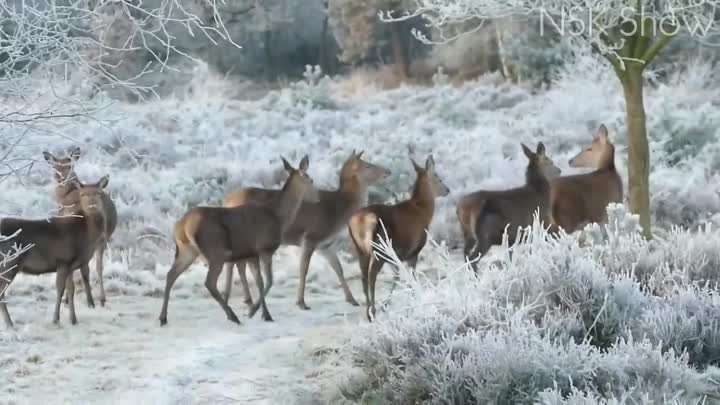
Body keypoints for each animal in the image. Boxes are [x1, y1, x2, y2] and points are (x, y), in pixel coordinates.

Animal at [0, 175, 111, 326]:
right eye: (83, 195)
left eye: (99, 193)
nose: (92, 206)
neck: (85, 236)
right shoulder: (62, 260)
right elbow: (60, 290)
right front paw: (56, 319)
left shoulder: (71, 265)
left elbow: (71, 290)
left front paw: (73, 320)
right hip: (9, 262)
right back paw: (9, 323)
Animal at [43, 147, 117, 304]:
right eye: (54, 166)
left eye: (69, 165)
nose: (59, 178)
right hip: (103, 239)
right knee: (98, 266)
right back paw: (102, 298)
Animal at [159, 155, 320, 326]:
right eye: (311, 179)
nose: (318, 197)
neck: (278, 216)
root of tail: (181, 226)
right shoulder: (265, 248)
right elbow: (269, 281)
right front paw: (253, 311)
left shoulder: (252, 253)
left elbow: (260, 282)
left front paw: (265, 314)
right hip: (215, 250)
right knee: (209, 282)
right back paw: (232, 316)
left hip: (187, 251)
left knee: (171, 275)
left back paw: (163, 317)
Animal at [222, 150, 390, 310]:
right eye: (367, 165)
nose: (388, 171)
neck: (337, 212)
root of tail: (225, 201)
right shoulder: (311, 236)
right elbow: (304, 269)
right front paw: (301, 302)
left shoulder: (325, 245)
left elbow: (338, 268)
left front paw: (352, 300)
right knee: (238, 264)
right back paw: (244, 299)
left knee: (237, 264)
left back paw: (243, 299)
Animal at [348, 155, 450, 322]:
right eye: (438, 177)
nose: (447, 190)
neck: (423, 212)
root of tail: (361, 220)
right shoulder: (414, 251)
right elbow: (411, 278)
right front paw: (414, 301)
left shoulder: (395, 256)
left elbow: (397, 277)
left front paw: (387, 304)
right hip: (380, 247)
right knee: (371, 276)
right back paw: (373, 311)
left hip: (360, 249)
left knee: (364, 277)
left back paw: (369, 311)